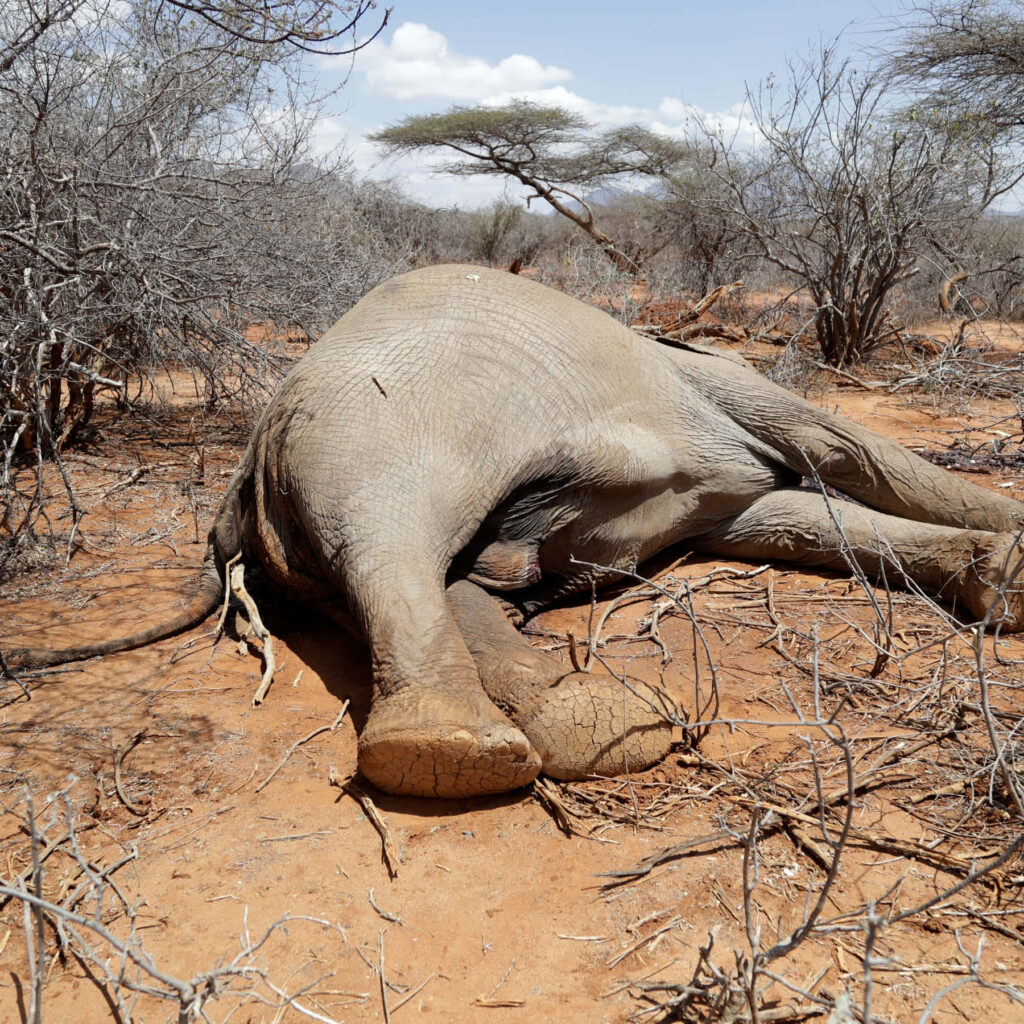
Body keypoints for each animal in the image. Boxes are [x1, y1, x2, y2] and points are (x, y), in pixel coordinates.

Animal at [12, 264, 1024, 798]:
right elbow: (841, 452)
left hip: (308, 526)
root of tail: (239, 467)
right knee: (395, 542)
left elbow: (794, 518)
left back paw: (581, 722)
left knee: (422, 580)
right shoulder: (727, 391)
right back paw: (458, 753)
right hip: (379, 422)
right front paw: (1013, 553)